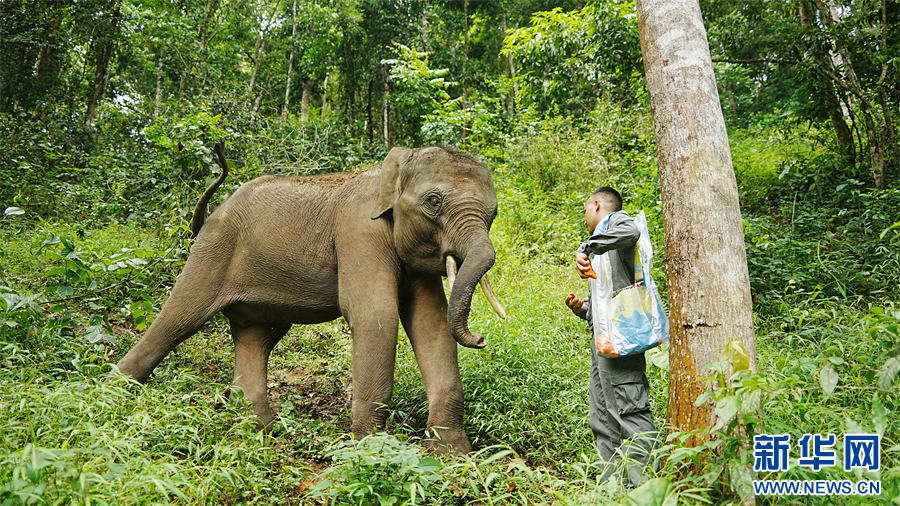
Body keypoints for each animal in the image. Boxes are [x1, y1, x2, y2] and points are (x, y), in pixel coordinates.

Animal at [112, 145, 505, 453]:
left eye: (495, 214)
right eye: (433, 202)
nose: (482, 338)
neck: (392, 171)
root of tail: (213, 214)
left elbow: (431, 323)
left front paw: (453, 454)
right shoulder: (358, 232)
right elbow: (374, 315)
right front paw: (370, 454)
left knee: (256, 336)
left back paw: (259, 431)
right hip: (213, 251)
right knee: (178, 318)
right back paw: (110, 398)